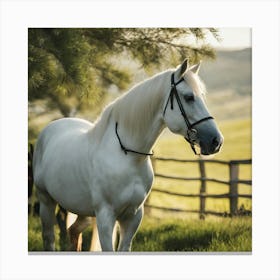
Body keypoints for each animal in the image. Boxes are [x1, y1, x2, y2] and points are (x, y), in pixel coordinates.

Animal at [33, 59, 223, 252]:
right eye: (188, 97)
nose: (216, 141)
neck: (128, 158)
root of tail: (52, 127)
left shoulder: (133, 216)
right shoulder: (106, 216)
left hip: (82, 211)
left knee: (73, 232)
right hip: (46, 201)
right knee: (49, 237)